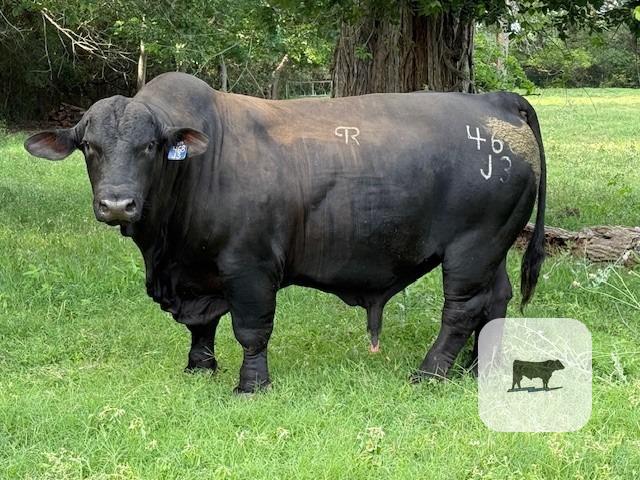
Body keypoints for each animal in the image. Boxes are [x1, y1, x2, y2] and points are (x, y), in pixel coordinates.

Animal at [24, 72, 546, 393]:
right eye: (89, 147)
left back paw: (431, 372)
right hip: (495, 248)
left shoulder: (248, 266)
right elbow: (202, 326)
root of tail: (493, 99)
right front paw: (199, 367)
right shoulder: (197, 271)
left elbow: (251, 329)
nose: (117, 204)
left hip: (472, 248)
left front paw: (251, 384)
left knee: (461, 311)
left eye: (150, 146)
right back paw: (479, 367)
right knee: (496, 300)